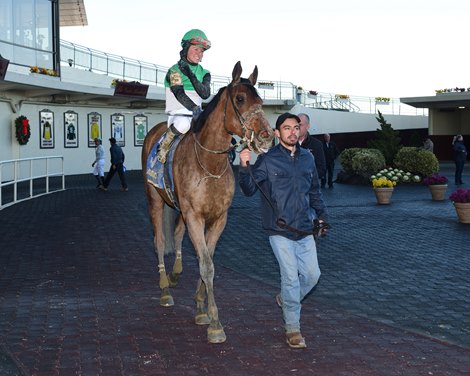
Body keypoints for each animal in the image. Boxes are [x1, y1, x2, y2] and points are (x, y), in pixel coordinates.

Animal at [142, 61, 276, 344]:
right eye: (240, 99)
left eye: (260, 100)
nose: (267, 136)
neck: (209, 163)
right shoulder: (195, 215)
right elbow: (206, 264)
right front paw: (215, 322)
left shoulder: (218, 218)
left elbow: (208, 259)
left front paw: (200, 306)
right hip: (154, 200)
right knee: (159, 241)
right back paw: (165, 289)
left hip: (179, 208)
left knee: (177, 234)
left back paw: (176, 273)